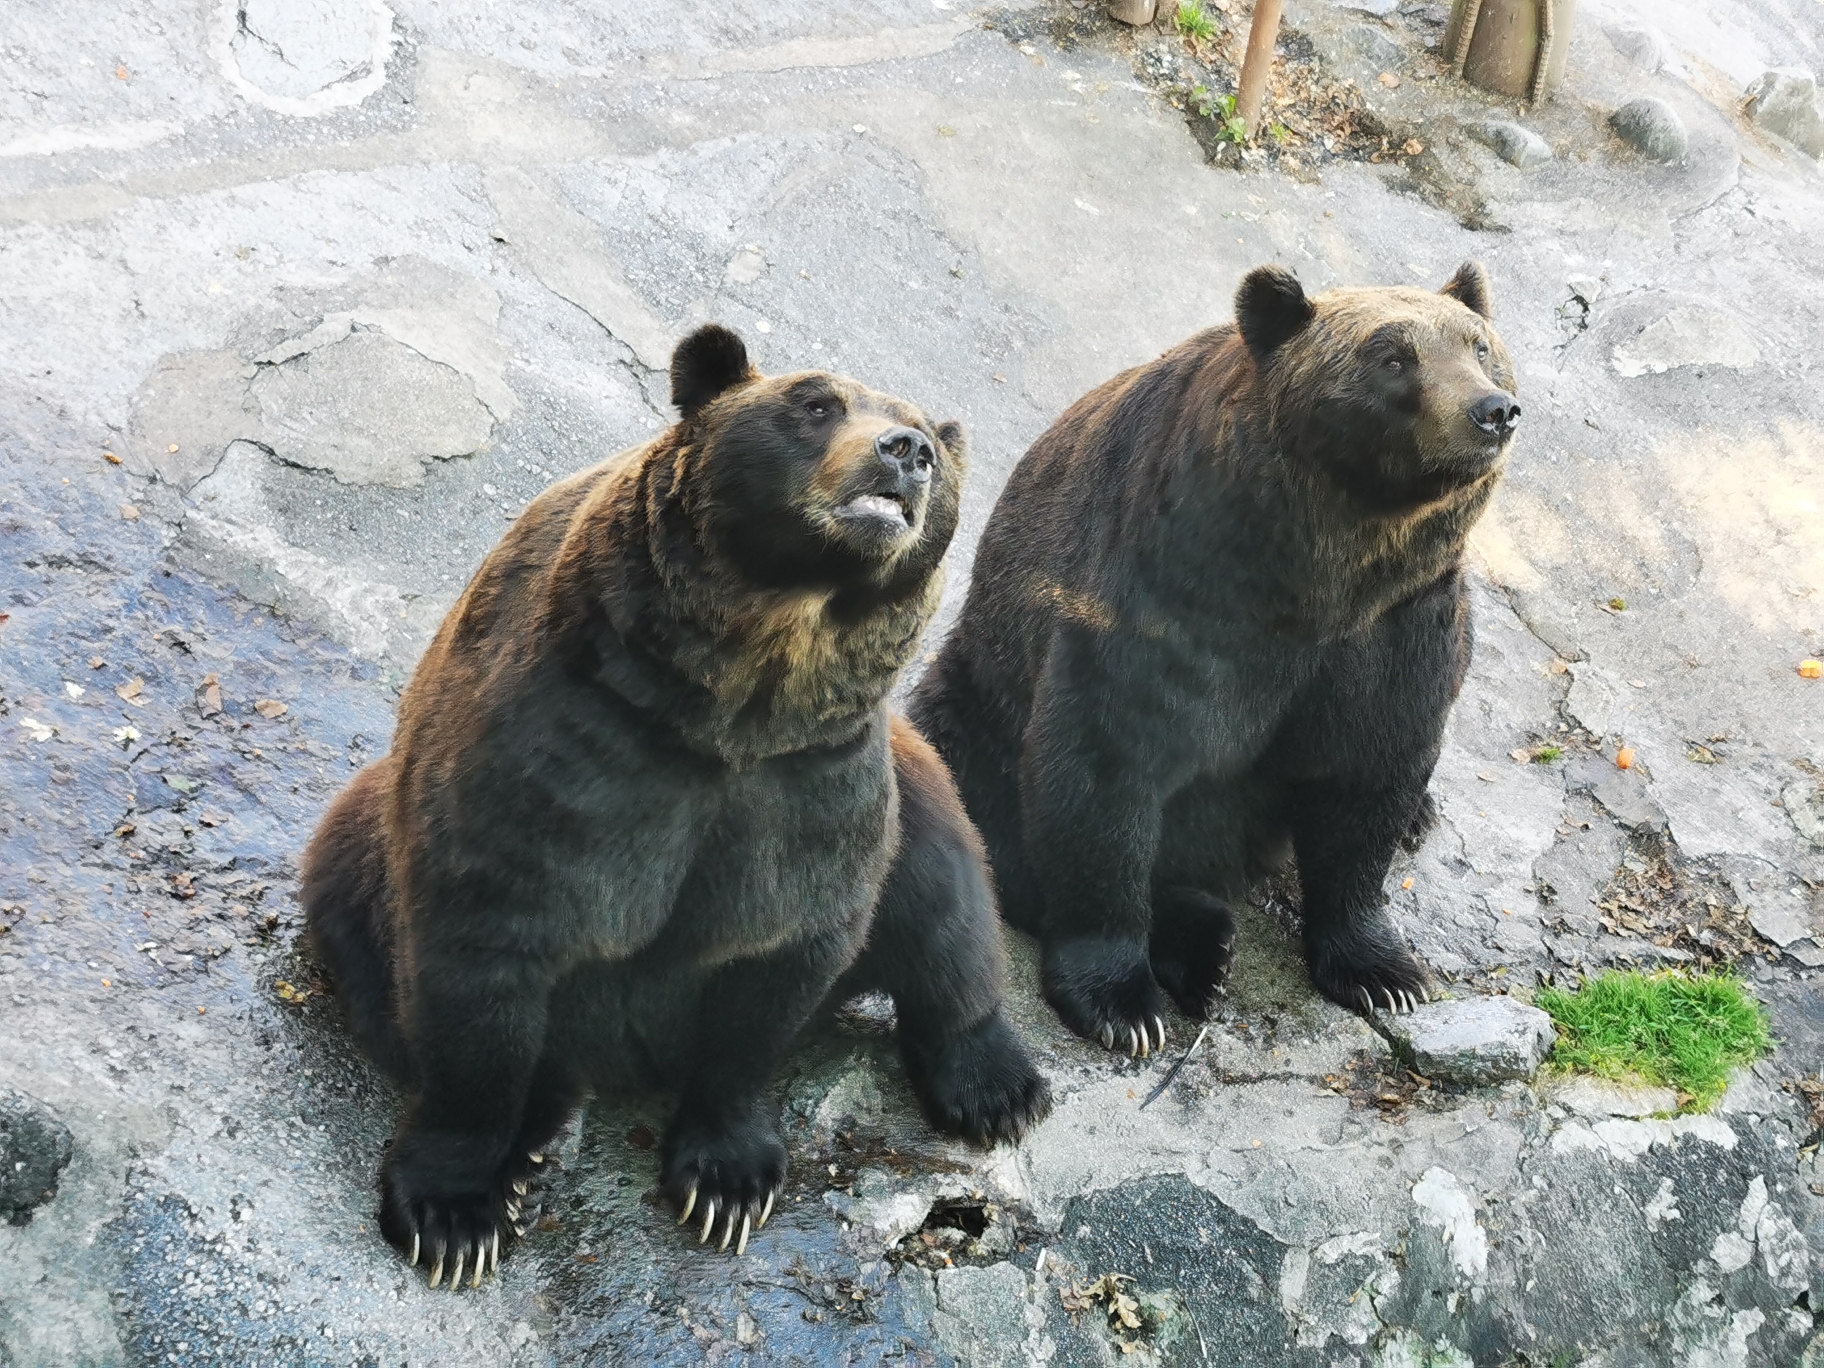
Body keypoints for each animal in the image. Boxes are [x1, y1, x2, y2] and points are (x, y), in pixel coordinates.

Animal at [297, 326, 1043, 1291]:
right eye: (814, 403)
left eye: (929, 443)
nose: (906, 452)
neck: (740, 694)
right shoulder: (563, 755)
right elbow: (480, 959)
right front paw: (451, 1214)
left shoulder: (802, 792)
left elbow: (776, 965)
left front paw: (726, 1183)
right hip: (361, 837)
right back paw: (530, 1140)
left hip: (912, 787)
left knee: (946, 900)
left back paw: (998, 1087)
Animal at [912, 264, 1524, 1057]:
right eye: (1392, 357)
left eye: (1479, 347)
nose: (1493, 410)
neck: (1323, 571)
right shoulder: (1170, 596)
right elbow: (1103, 771)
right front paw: (1121, 1002)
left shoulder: (1397, 626)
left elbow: (1372, 772)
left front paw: (1384, 972)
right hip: (979, 694)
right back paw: (1200, 949)